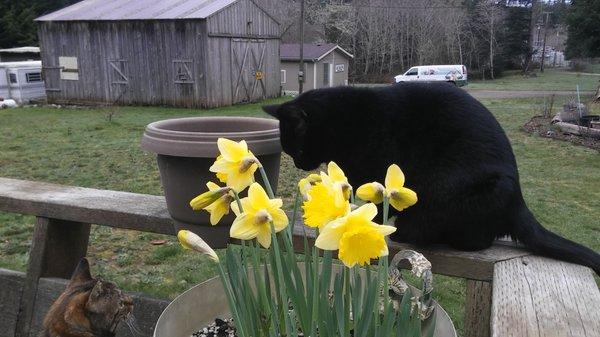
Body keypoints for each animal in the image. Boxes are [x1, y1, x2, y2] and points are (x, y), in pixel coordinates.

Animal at [262, 82, 600, 274]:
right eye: (290, 152)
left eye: (298, 148)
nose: (300, 164)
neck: (348, 122)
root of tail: (518, 201)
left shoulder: (376, 170)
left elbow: (376, 204)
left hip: (463, 190)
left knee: (475, 238)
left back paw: (411, 231)